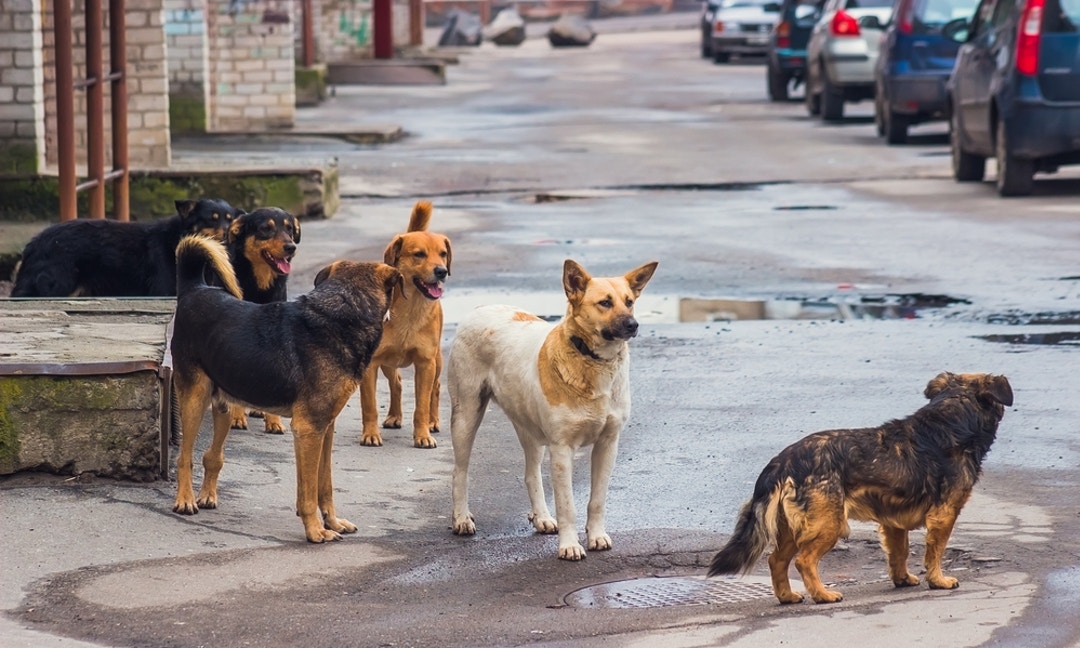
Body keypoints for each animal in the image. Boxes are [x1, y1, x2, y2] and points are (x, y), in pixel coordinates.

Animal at [12, 197, 241, 298]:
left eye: (230, 220)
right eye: (211, 219)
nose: (227, 234)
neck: (178, 238)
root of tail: (34, 244)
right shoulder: (163, 290)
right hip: (57, 286)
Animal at [170, 235, 403, 544]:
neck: (343, 312)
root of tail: (194, 289)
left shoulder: (325, 428)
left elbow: (325, 484)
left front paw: (332, 522)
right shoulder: (308, 429)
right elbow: (308, 493)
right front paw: (315, 530)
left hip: (224, 405)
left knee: (212, 455)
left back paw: (207, 495)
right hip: (194, 399)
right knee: (184, 456)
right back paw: (185, 500)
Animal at [222, 207, 302, 436]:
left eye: (289, 229)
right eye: (266, 228)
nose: (291, 247)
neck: (260, 285)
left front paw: (273, 421)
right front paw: (237, 417)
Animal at [358, 199, 451, 447]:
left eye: (443, 254)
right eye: (419, 254)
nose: (442, 271)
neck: (410, 309)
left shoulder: (425, 363)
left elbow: (421, 406)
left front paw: (423, 435)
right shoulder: (371, 364)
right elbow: (369, 405)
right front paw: (370, 434)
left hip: (437, 360)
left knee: (436, 388)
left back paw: (433, 421)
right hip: (388, 362)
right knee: (397, 382)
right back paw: (394, 416)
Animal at [708, 371, 1010, 604]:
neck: (952, 417)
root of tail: (783, 461)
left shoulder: (893, 521)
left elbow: (899, 552)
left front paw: (902, 579)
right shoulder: (944, 515)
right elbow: (935, 552)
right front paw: (938, 580)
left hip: (794, 527)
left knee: (776, 561)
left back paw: (788, 596)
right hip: (828, 523)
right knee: (804, 561)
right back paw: (822, 595)